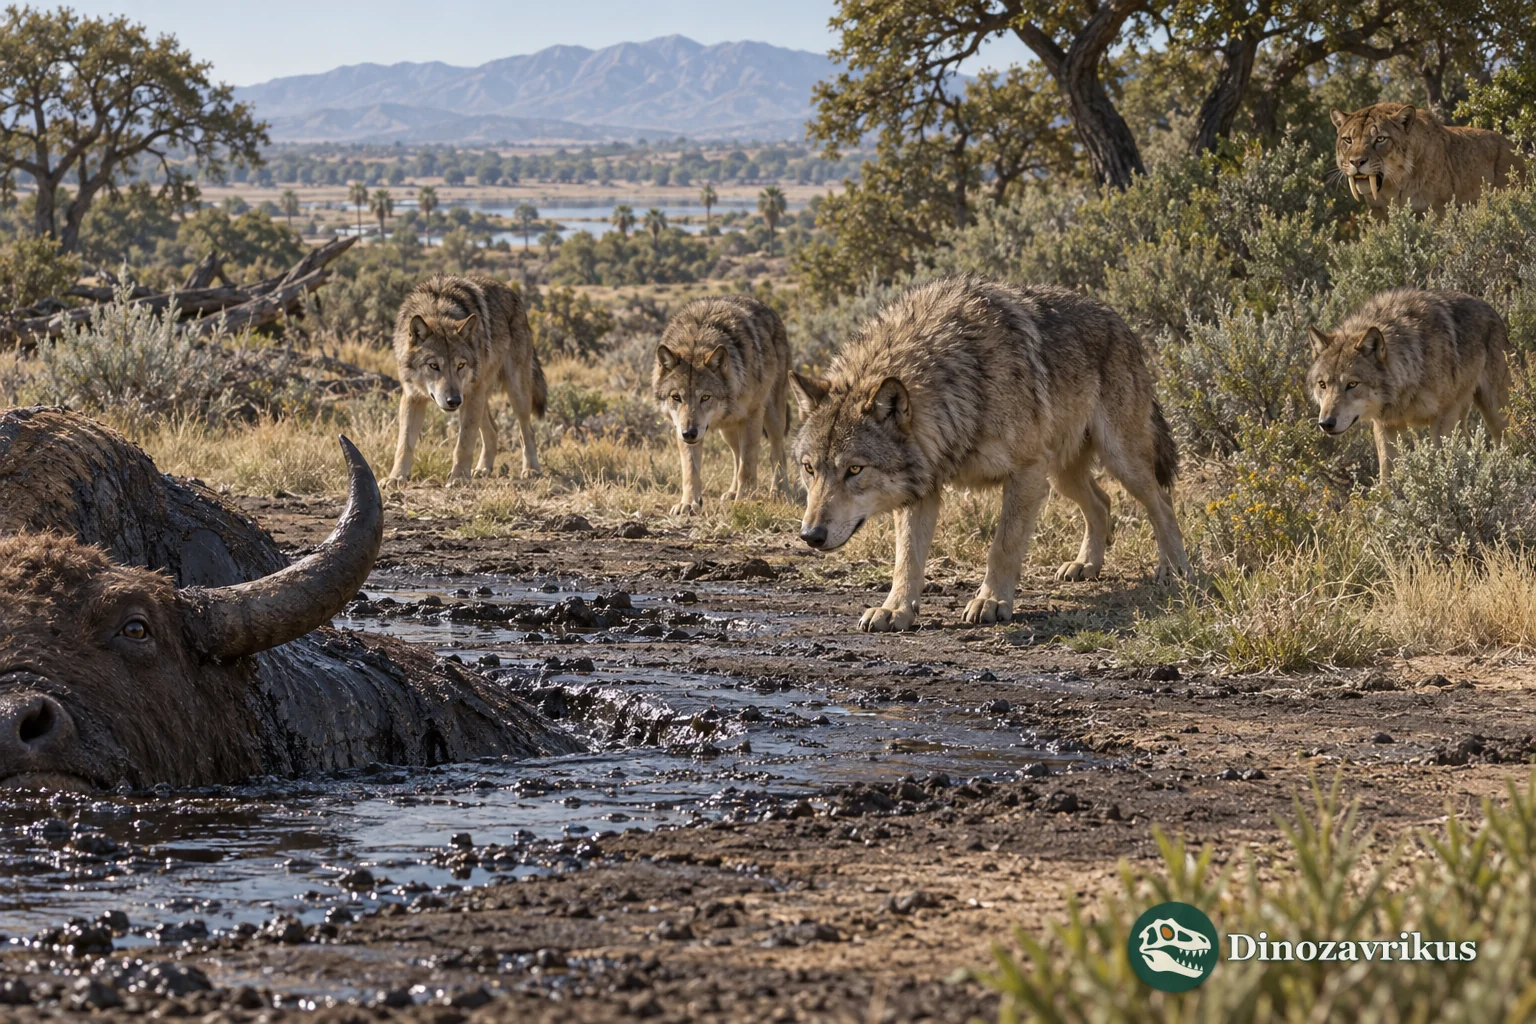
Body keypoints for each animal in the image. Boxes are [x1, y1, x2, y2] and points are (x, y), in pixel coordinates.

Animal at [388, 274, 547, 486]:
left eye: (460, 365)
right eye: (434, 365)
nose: (453, 401)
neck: (438, 309)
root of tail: (512, 293)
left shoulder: (470, 396)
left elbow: (464, 443)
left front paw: (459, 478)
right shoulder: (412, 397)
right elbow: (404, 445)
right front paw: (396, 477)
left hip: (513, 392)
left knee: (527, 431)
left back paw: (531, 469)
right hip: (480, 395)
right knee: (494, 430)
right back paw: (482, 469)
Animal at [652, 295, 792, 514]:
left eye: (705, 397)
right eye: (676, 397)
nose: (689, 433)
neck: (697, 338)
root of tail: (767, 307)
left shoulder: (753, 415)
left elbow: (748, 466)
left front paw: (746, 501)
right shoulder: (680, 428)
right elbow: (690, 471)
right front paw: (688, 503)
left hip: (773, 417)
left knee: (777, 453)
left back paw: (779, 492)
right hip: (727, 431)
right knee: (736, 455)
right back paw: (732, 492)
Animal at [792, 276, 1189, 633]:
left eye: (855, 470)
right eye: (810, 469)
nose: (810, 535)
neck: (958, 390)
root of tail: (1119, 319)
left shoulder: (1026, 472)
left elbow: (1003, 545)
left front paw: (992, 601)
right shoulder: (924, 488)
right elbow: (906, 559)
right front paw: (896, 610)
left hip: (1119, 461)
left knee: (1162, 501)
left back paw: (1174, 569)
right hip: (1062, 476)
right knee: (1103, 502)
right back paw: (1085, 566)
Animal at [1308, 288, 1510, 481]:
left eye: (1352, 384)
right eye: (1322, 384)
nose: (1326, 423)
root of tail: (1489, 307)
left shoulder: (1443, 418)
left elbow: (1443, 463)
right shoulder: (1385, 426)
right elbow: (1386, 478)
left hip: (1495, 414)